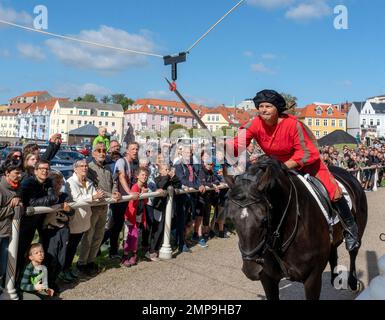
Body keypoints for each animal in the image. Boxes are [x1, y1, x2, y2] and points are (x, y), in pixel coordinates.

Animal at [225, 155, 366, 300]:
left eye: (264, 219)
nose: (251, 269)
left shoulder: (312, 278)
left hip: (358, 230)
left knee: (353, 252)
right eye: (231, 218)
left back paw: (353, 281)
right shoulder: (268, 279)